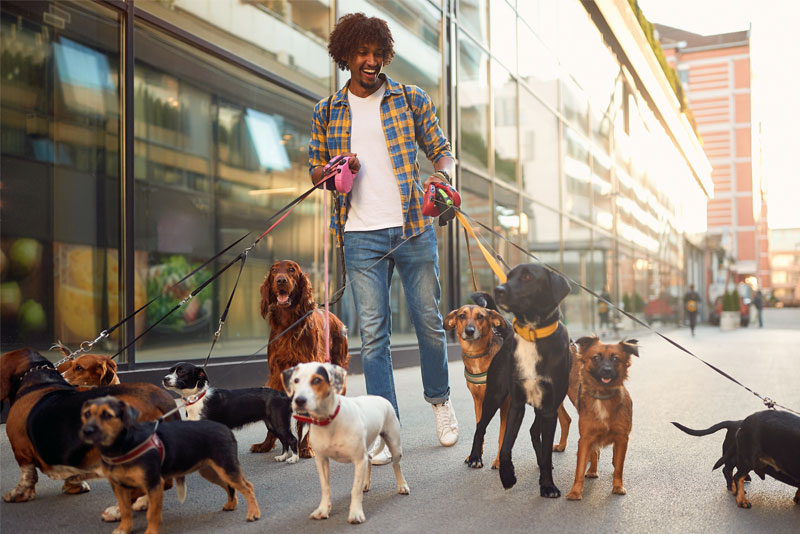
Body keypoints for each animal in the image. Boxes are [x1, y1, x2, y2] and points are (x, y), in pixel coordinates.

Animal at [163, 364, 300, 464]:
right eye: (170, 371)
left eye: (181, 372)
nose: (165, 379)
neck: (197, 397)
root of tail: (284, 395)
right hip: (273, 425)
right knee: (284, 440)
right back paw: (282, 457)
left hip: (279, 423)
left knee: (292, 439)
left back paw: (294, 459)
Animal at [253, 262, 346, 458]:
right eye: (274, 270)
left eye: (291, 270)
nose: (281, 280)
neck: (289, 324)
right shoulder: (277, 375)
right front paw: (266, 444)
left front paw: (306, 447)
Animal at [440, 304, 510, 472]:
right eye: (461, 316)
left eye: (480, 316)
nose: (470, 331)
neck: (477, 355)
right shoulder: (478, 402)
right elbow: (480, 427)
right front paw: (475, 456)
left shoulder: (505, 404)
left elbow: (502, 434)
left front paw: (499, 461)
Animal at [466, 264, 572, 498]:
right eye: (508, 276)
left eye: (527, 277)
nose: (498, 289)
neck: (532, 335)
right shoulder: (516, 404)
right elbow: (506, 446)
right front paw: (507, 477)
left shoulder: (549, 408)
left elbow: (546, 449)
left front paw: (547, 485)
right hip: (494, 396)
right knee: (480, 426)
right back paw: (475, 457)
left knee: (534, 432)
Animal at [564, 340, 640, 502]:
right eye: (596, 358)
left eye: (615, 358)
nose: (606, 371)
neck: (604, 397)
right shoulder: (586, 438)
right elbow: (580, 467)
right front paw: (575, 491)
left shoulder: (622, 438)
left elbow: (619, 466)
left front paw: (618, 486)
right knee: (594, 453)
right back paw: (592, 470)